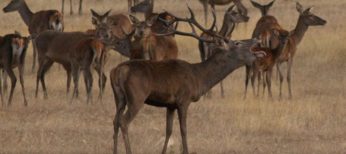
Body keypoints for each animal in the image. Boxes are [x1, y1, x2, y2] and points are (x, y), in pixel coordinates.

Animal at [109, 6, 266, 154]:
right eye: (237, 43)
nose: (256, 39)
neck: (199, 78)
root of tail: (118, 71)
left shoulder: (170, 105)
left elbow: (169, 130)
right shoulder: (183, 99)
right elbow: (183, 129)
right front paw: (186, 150)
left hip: (119, 97)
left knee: (115, 121)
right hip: (137, 96)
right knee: (124, 121)